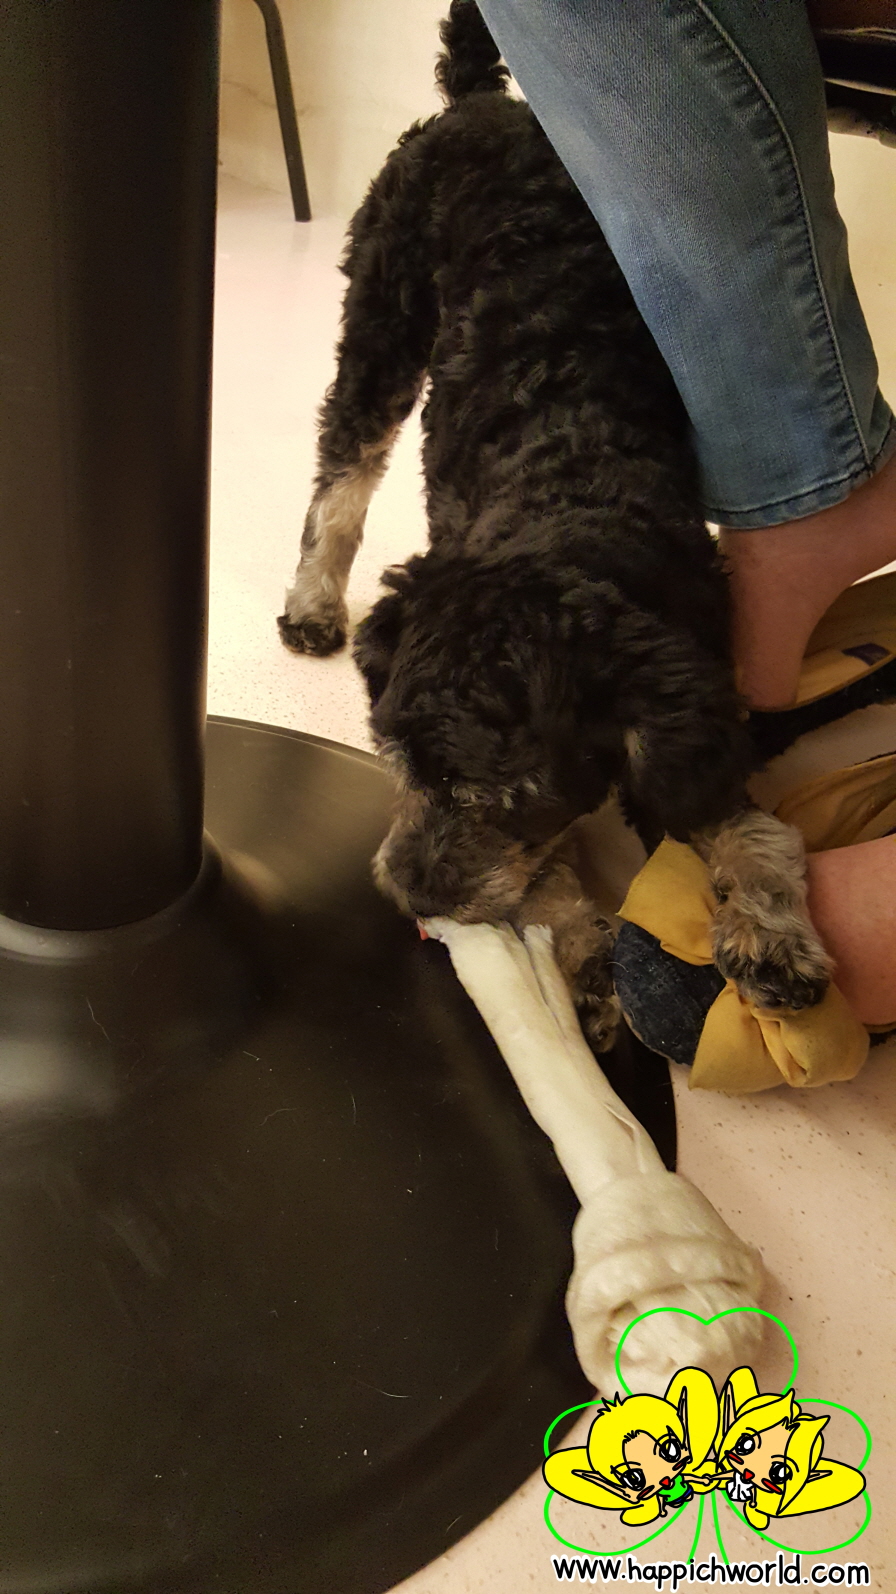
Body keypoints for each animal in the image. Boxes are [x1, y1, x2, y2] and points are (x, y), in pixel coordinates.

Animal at [278, 0, 831, 1048]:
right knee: (342, 471)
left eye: (499, 797)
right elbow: (549, 879)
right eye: (393, 761)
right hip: (382, 310)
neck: (567, 516)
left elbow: (747, 824)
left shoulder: (687, 696)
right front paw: (585, 956)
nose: (410, 892)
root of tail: (482, 100)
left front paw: (771, 930)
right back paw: (314, 603)